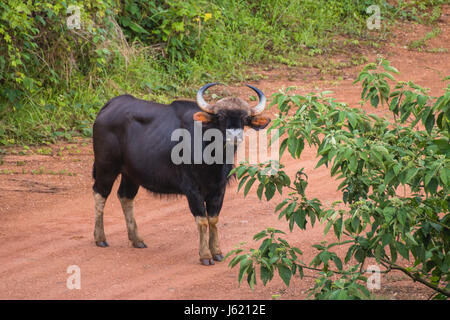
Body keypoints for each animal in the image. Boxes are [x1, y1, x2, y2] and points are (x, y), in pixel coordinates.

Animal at [89, 82, 268, 264]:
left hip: (131, 174)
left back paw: (137, 239)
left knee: (125, 196)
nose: (235, 135)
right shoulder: (192, 190)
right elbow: (202, 220)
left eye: (245, 118)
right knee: (100, 194)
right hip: (106, 168)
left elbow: (213, 219)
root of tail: (109, 105)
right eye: (220, 116)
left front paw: (216, 252)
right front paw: (205, 255)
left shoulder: (219, 188)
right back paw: (100, 238)